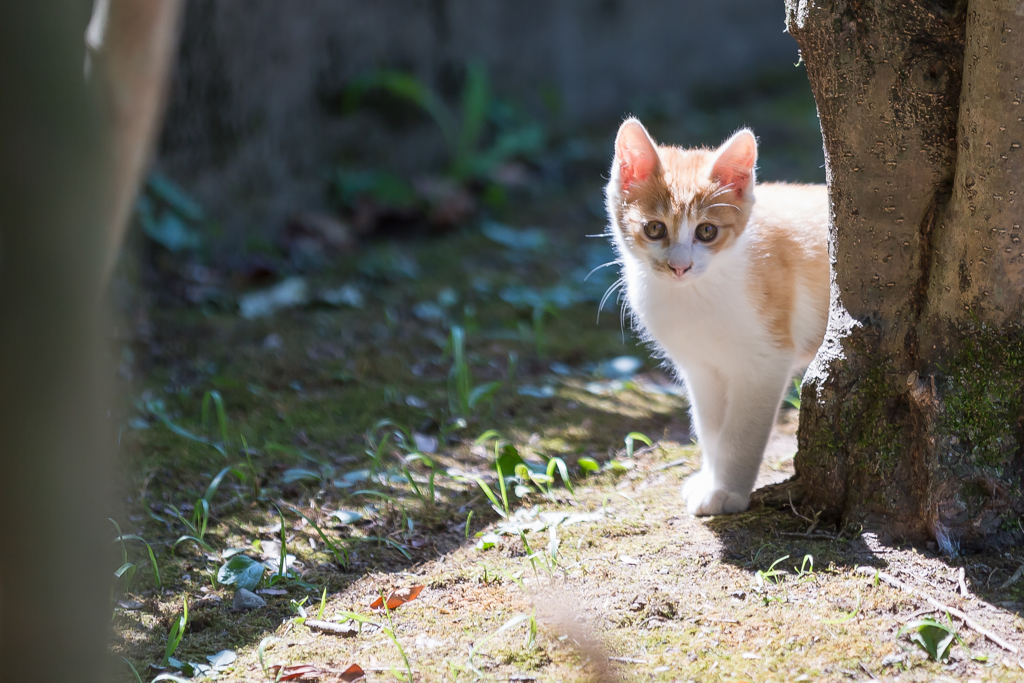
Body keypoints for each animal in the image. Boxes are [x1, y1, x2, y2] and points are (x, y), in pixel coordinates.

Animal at [598, 117, 831, 516]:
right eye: (654, 228)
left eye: (706, 231)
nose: (679, 267)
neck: (694, 295)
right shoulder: (701, 368)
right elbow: (710, 429)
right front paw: (710, 480)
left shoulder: (765, 363)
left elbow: (740, 433)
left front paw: (727, 492)